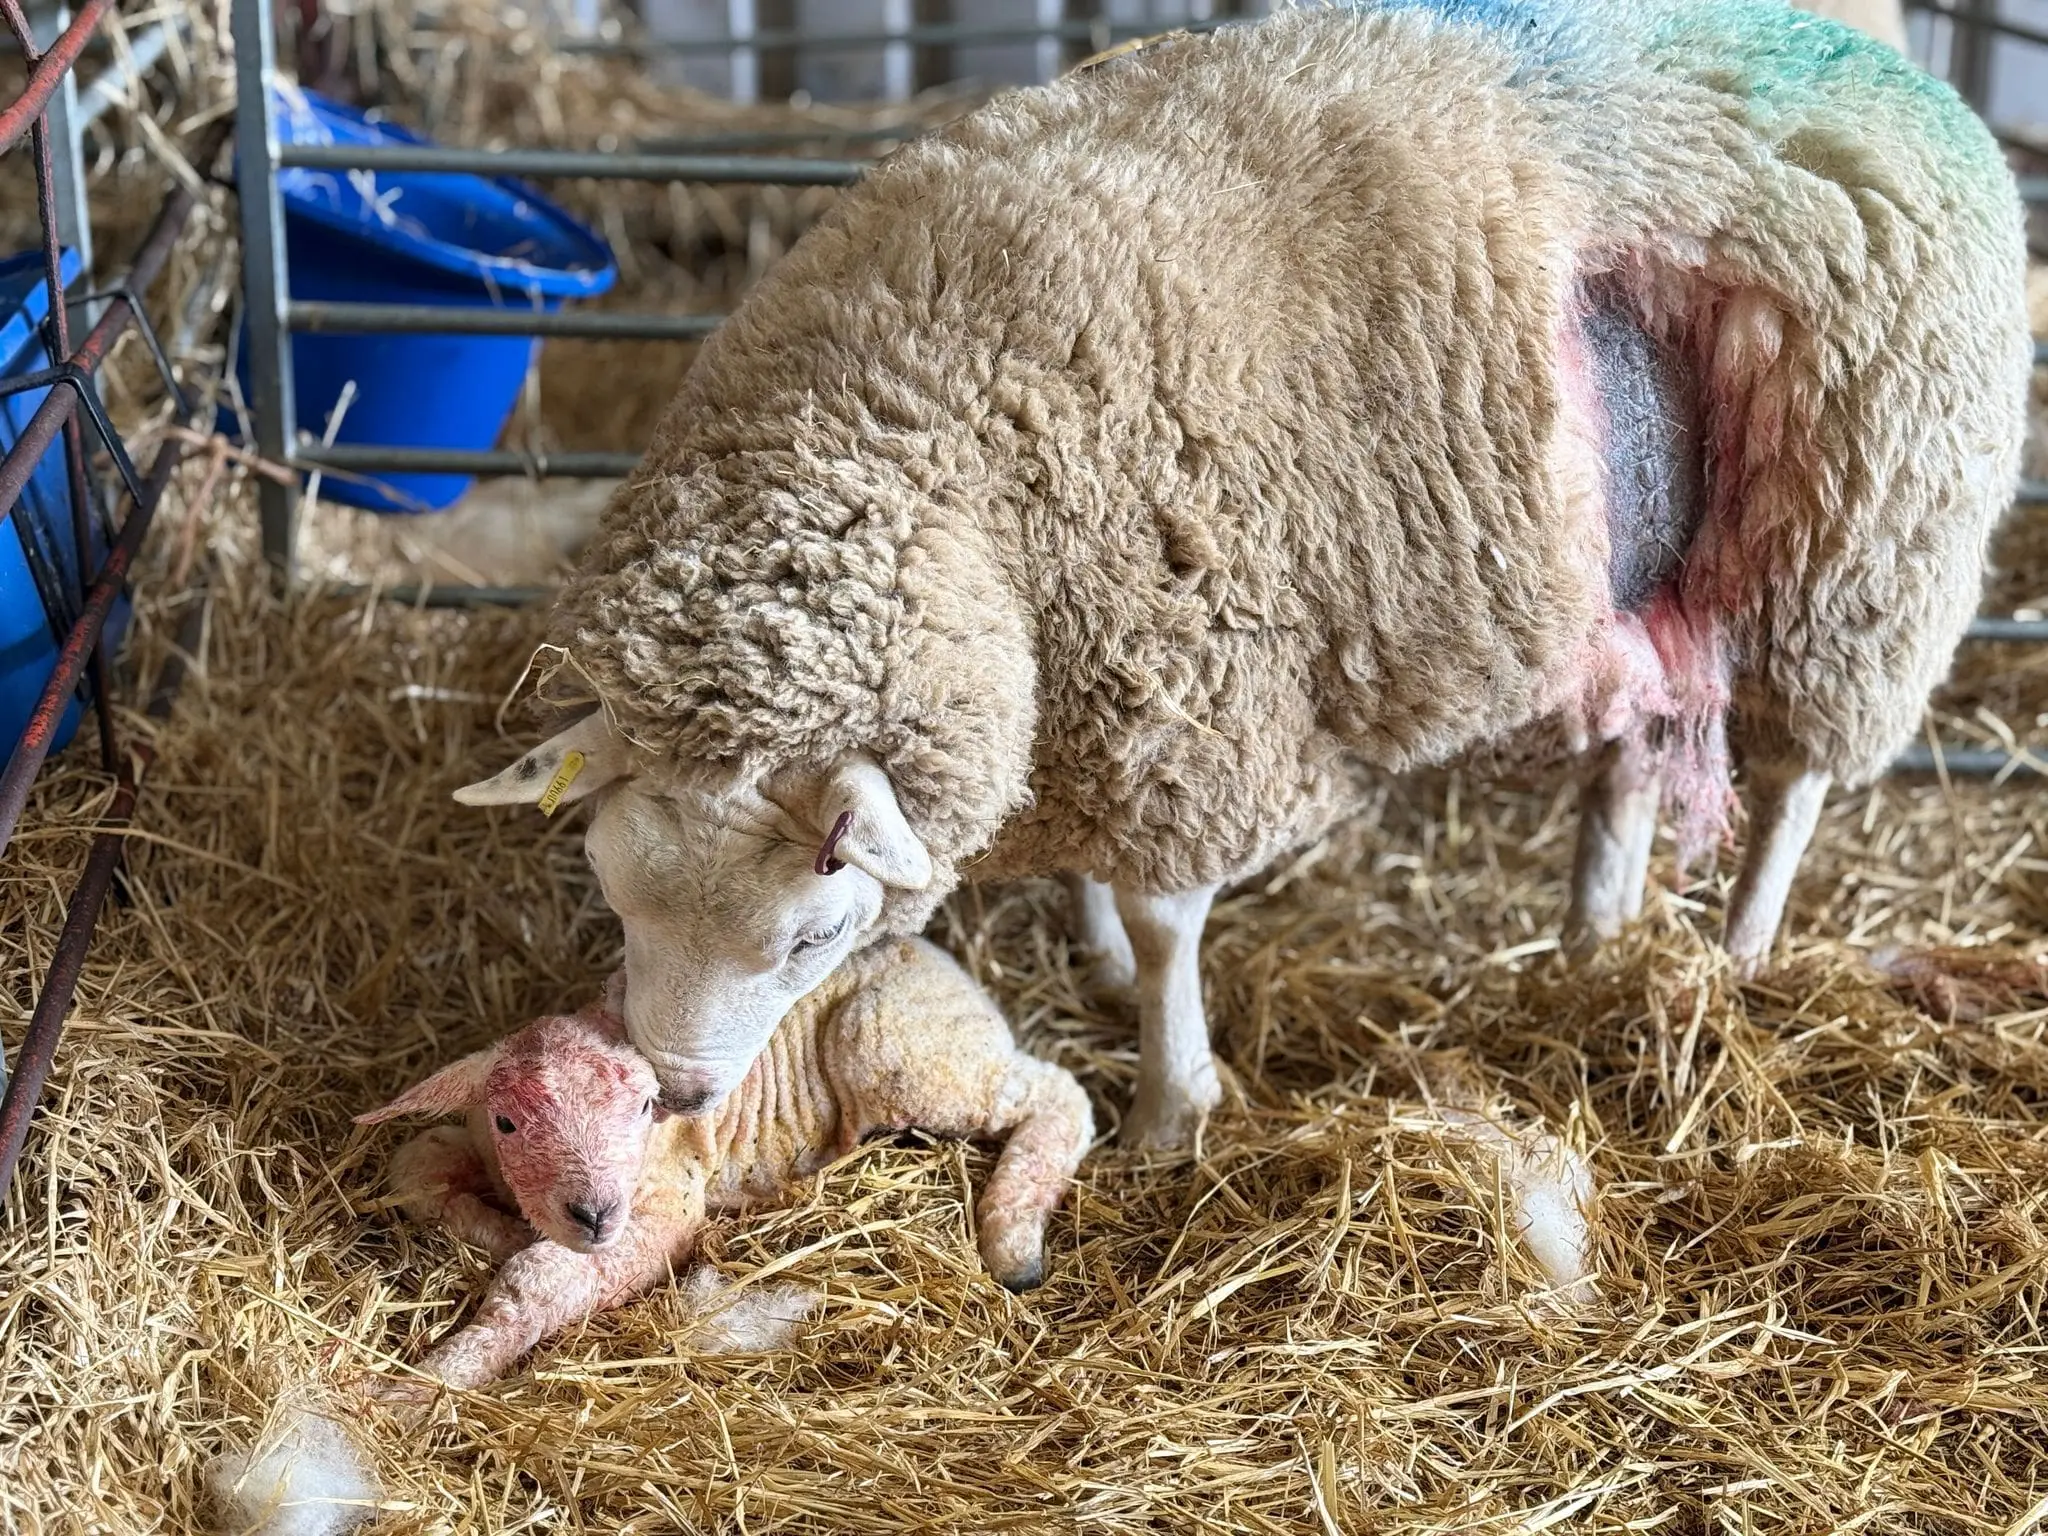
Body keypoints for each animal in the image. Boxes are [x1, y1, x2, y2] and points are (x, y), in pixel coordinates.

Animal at [355, 939, 1092, 1391]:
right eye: (509, 1121)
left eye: (645, 1106)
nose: (594, 1215)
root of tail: (949, 965)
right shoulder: (479, 1146)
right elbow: (414, 1164)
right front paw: (503, 1231)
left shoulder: (668, 1202)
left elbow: (538, 1282)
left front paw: (417, 1392)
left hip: (898, 1047)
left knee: (1059, 1093)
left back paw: (1014, 1242)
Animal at [455, 0, 2030, 1151]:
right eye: (611, 892)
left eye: (807, 938)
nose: (672, 1095)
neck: (917, 420)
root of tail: (1886, 59)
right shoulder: (1089, 688)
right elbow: (1087, 867)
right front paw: (1092, 957)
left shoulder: (1192, 701)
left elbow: (1168, 926)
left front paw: (1169, 1103)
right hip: (1639, 575)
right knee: (1631, 757)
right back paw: (1592, 937)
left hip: (1867, 542)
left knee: (1799, 774)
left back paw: (1746, 953)